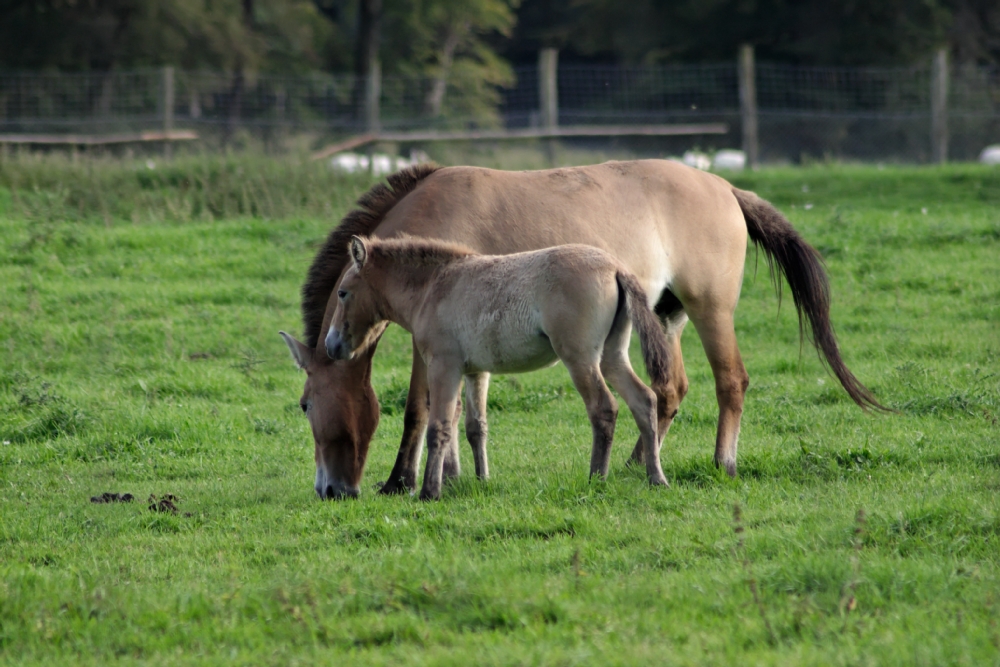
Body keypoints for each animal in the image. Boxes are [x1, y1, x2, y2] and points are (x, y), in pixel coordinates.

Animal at [328, 236, 672, 500]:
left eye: (343, 292)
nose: (332, 346)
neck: (433, 287)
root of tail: (615, 267)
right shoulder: (476, 372)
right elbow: (475, 427)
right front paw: (482, 481)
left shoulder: (443, 367)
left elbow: (439, 426)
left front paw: (429, 491)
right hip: (612, 356)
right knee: (644, 400)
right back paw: (656, 478)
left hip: (580, 359)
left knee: (604, 408)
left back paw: (596, 478)